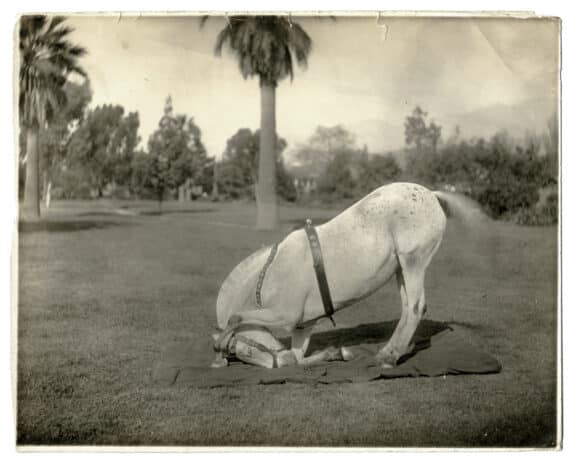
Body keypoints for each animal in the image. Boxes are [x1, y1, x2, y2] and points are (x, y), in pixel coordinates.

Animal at [211, 182, 478, 368]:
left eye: (243, 351)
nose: (279, 364)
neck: (271, 271)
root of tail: (431, 194)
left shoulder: (284, 315)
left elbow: (236, 317)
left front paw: (218, 348)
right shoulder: (303, 325)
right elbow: (298, 356)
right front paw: (335, 353)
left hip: (413, 261)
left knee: (414, 307)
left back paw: (388, 357)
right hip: (401, 269)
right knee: (408, 307)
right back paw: (397, 348)